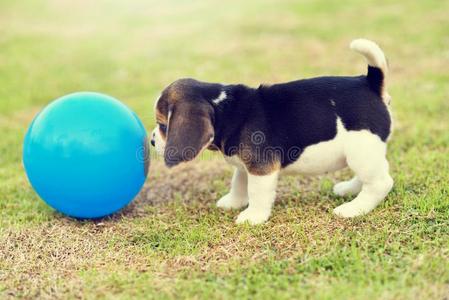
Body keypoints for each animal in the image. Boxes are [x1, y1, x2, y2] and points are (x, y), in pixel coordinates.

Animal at [150, 38, 392, 224]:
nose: (152, 141)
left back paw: (354, 208)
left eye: (163, 125)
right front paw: (233, 202)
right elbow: (239, 182)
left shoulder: (261, 168)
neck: (225, 109)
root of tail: (369, 83)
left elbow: (257, 193)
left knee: (381, 183)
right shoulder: (245, 165)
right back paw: (349, 189)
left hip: (361, 149)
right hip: (366, 152)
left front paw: (253, 217)